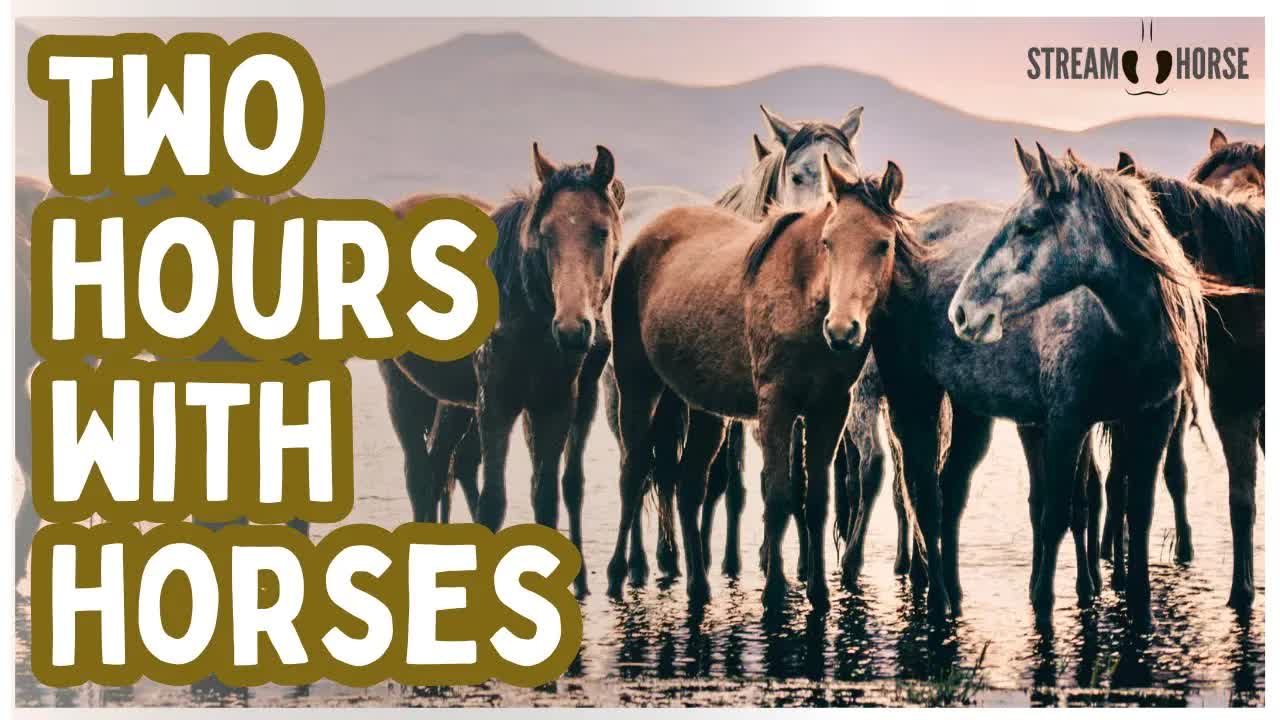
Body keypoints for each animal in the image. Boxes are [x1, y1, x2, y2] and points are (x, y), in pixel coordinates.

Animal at [380, 144, 623, 598]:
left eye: (601, 232)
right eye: (545, 234)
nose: (573, 328)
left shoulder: (554, 405)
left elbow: (546, 497)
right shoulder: (495, 403)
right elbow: (494, 502)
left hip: (454, 404)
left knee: (440, 466)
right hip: (402, 390)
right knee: (419, 476)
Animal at [609, 105, 911, 590]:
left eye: (884, 244)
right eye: (827, 241)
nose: (843, 329)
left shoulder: (828, 406)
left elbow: (812, 494)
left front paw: (812, 584)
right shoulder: (774, 404)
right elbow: (774, 491)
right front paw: (772, 582)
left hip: (699, 405)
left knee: (686, 481)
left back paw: (696, 580)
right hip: (634, 386)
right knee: (635, 469)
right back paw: (629, 568)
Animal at [936, 142, 1210, 627]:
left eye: (1029, 226)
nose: (963, 313)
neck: (1124, 331)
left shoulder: (1153, 419)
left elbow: (1137, 510)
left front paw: (1139, 603)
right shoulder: (1067, 424)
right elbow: (1057, 514)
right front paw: (1044, 604)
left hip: (975, 415)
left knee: (952, 493)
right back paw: (946, 596)